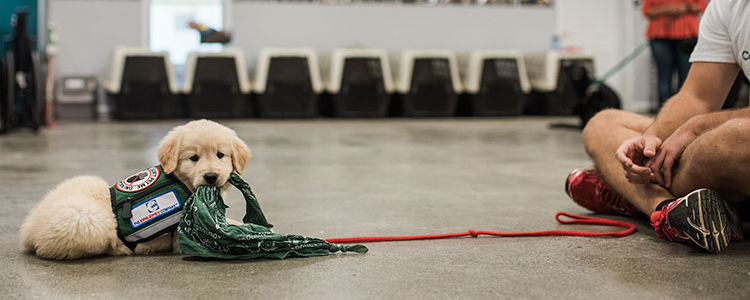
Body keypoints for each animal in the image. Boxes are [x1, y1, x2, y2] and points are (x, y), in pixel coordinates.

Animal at [19, 119, 250, 260]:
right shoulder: (181, 239)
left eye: (220, 155)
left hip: (89, 180)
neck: (181, 181)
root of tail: (29, 227)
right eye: (194, 158)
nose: (211, 176)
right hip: (85, 217)